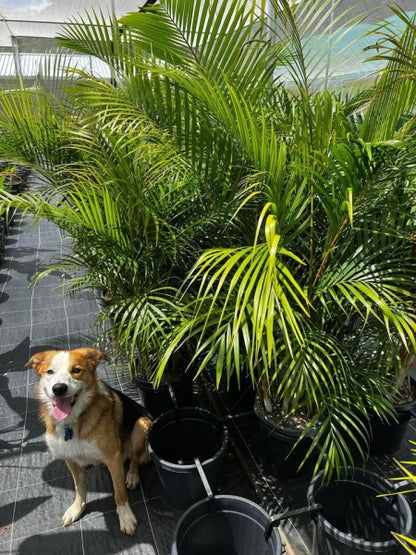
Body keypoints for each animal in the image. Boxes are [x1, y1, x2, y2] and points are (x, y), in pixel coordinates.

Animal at [26, 350, 153, 536]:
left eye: (76, 370)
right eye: (50, 372)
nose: (59, 388)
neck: (73, 421)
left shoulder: (113, 458)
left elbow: (119, 491)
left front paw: (126, 516)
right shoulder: (69, 459)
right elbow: (79, 486)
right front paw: (77, 508)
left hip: (141, 425)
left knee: (135, 458)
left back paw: (131, 475)